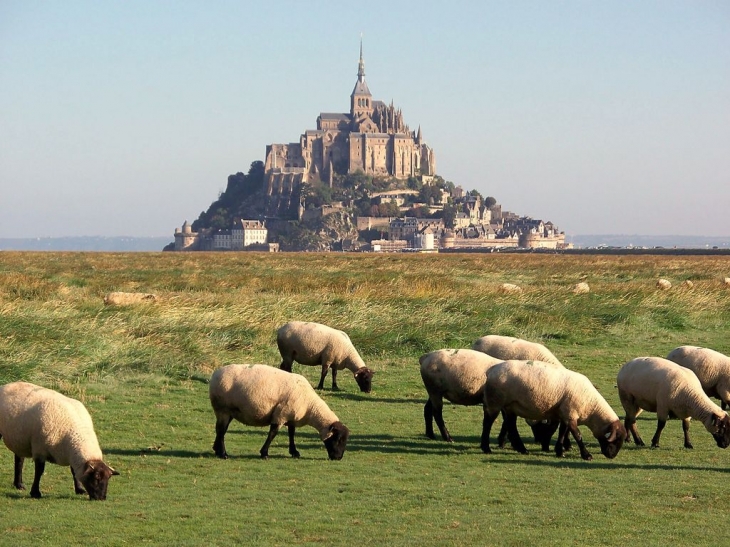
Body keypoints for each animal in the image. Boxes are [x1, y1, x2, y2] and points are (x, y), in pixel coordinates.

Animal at [208, 366, 350, 460]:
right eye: (338, 439)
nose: (338, 457)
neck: (310, 407)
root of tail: (215, 375)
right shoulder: (280, 414)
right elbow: (273, 433)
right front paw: (264, 453)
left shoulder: (291, 416)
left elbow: (291, 433)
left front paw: (294, 452)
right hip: (223, 408)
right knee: (221, 430)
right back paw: (223, 454)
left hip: (228, 411)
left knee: (220, 429)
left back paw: (216, 450)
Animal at [480, 362, 624, 460]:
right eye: (616, 439)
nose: (612, 455)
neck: (591, 407)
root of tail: (491, 370)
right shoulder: (571, 414)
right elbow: (577, 435)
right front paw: (586, 455)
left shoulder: (565, 414)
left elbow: (562, 433)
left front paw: (559, 451)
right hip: (495, 401)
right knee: (487, 423)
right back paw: (486, 448)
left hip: (510, 406)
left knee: (511, 425)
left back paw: (522, 449)